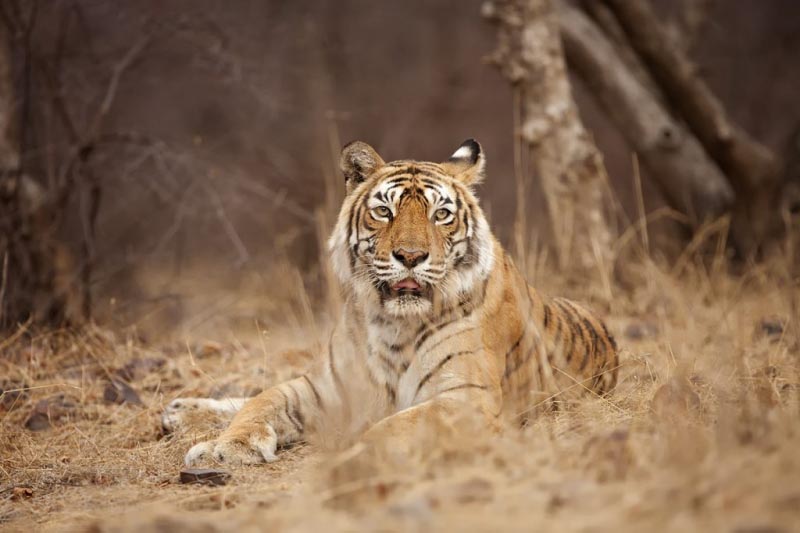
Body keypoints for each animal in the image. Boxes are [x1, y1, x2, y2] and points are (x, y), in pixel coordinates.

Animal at [162, 139, 619, 465]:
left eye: (441, 215)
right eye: (384, 211)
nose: (411, 257)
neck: (395, 325)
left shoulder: (467, 397)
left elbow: (395, 427)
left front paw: (355, 451)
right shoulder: (323, 387)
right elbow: (263, 402)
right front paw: (225, 447)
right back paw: (181, 410)